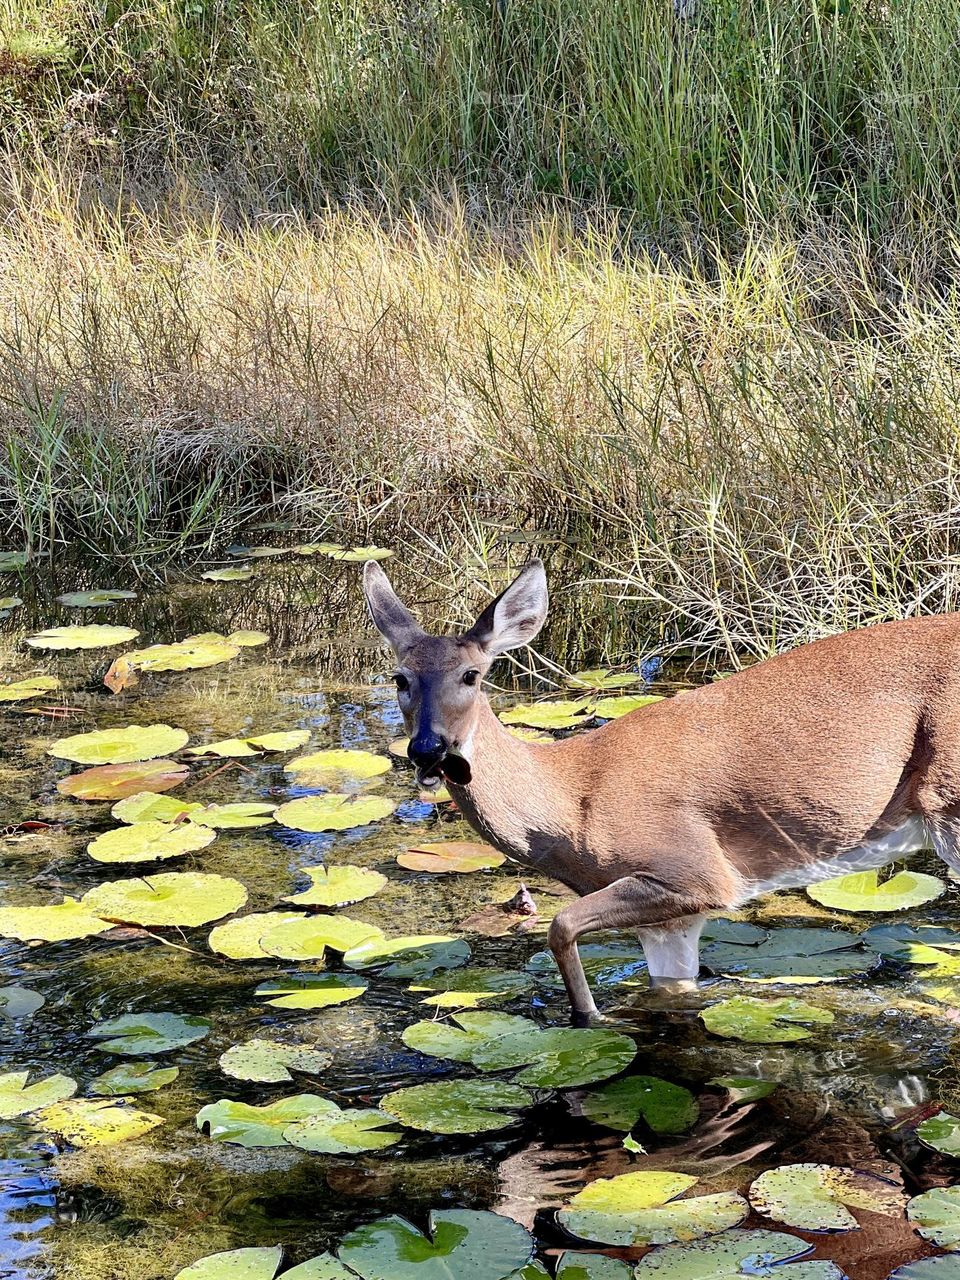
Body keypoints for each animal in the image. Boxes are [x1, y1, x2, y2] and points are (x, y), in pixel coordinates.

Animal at [363, 557, 960, 1026]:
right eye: (399, 678)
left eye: (471, 675)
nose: (428, 750)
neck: (570, 802)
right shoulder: (671, 920)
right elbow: (672, 988)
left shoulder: (693, 869)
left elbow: (558, 926)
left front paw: (591, 1019)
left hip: (947, 801)